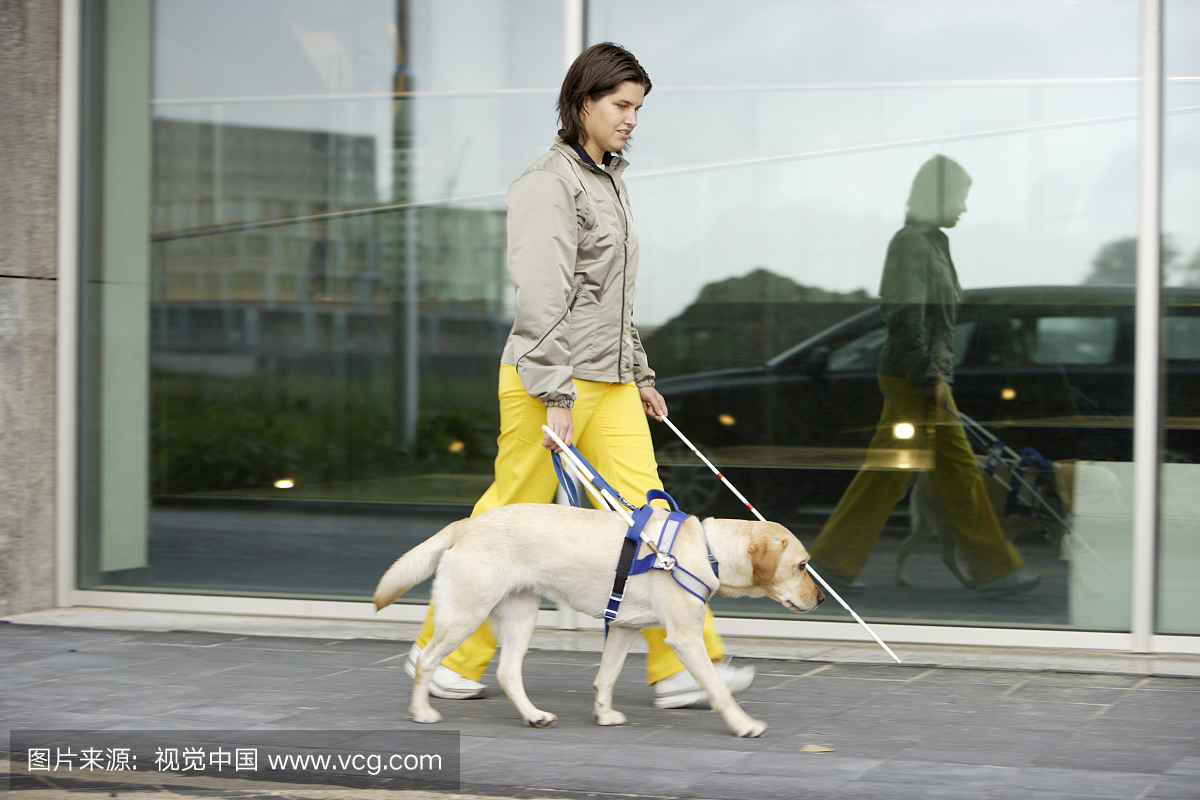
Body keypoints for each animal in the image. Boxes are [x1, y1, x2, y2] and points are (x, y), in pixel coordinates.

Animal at [376, 506, 825, 738]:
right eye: (803, 565)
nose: (822, 598)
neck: (707, 550)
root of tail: (467, 522)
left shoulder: (624, 628)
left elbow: (605, 677)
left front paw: (604, 715)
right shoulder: (684, 637)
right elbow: (717, 689)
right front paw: (743, 723)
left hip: (520, 616)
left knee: (507, 673)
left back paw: (533, 715)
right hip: (467, 614)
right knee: (426, 660)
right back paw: (422, 712)